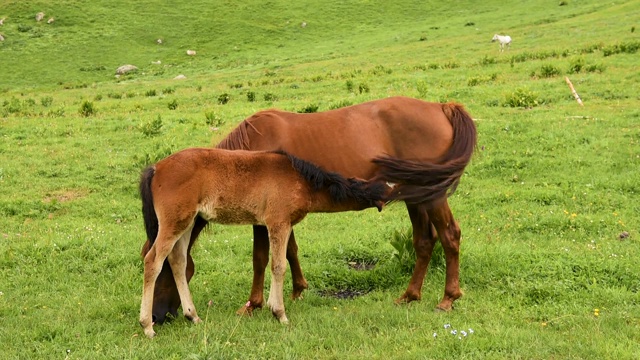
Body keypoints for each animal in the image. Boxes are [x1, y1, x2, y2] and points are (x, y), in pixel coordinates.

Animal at [139, 147, 390, 338]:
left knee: (178, 262)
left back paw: (193, 316)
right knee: (153, 261)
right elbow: (278, 266)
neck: (300, 179)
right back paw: (147, 327)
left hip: (187, 222)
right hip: (174, 222)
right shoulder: (278, 223)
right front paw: (279, 313)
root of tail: (156, 168)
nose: (385, 201)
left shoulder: (272, 224)